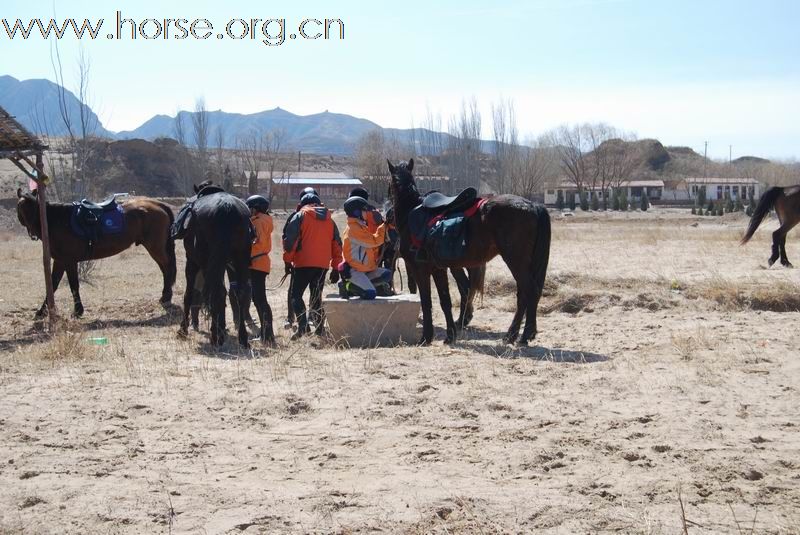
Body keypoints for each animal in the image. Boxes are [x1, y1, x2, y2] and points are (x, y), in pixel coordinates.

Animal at [16, 187, 176, 316]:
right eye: (20, 207)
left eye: (31, 207)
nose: (33, 232)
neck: (59, 220)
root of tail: (158, 204)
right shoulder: (60, 261)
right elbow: (53, 284)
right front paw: (42, 311)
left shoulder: (69, 261)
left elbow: (74, 285)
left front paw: (78, 311)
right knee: (164, 269)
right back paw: (165, 296)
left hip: (155, 248)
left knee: (167, 268)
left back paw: (166, 297)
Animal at [178, 188, 253, 348]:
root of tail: (226, 207)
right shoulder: (225, 265)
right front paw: (222, 328)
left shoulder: (192, 262)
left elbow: (188, 294)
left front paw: (182, 329)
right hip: (239, 260)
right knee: (239, 293)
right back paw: (242, 338)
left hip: (207, 263)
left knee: (216, 293)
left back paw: (215, 336)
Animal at [388, 158, 552, 348]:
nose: (388, 213)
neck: (410, 213)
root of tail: (533, 205)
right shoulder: (438, 269)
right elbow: (445, 300)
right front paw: (450, 335)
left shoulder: (419, 269)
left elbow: (426, 300)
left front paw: (426, 337)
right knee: (524, 294)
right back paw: (514, 335)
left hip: (515, 261)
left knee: (529, 290)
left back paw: (523, 335)